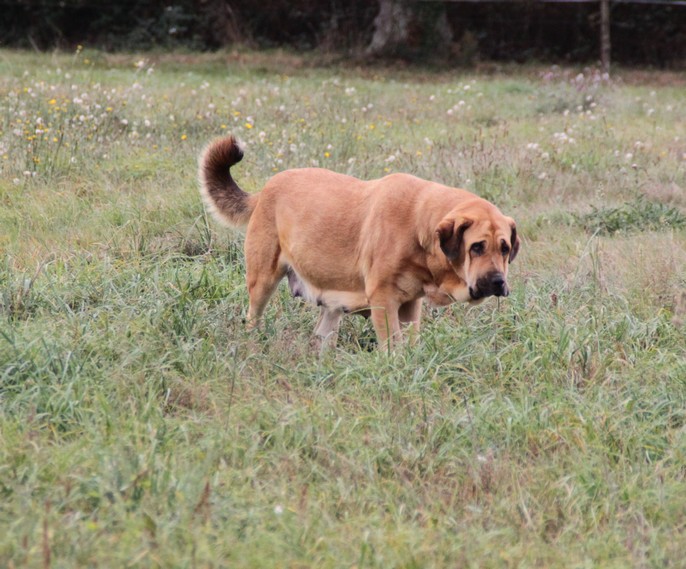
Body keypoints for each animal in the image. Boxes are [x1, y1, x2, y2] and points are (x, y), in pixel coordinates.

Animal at [199, 136, 520, 346]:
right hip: (262, 281)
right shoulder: (384, 301)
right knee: (252, 319)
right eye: (476, 247)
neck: (420, 228)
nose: (497, 282)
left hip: (330, 303)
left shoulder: (410, 305)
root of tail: (264, 191)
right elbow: (393, 347)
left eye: (505, 248)